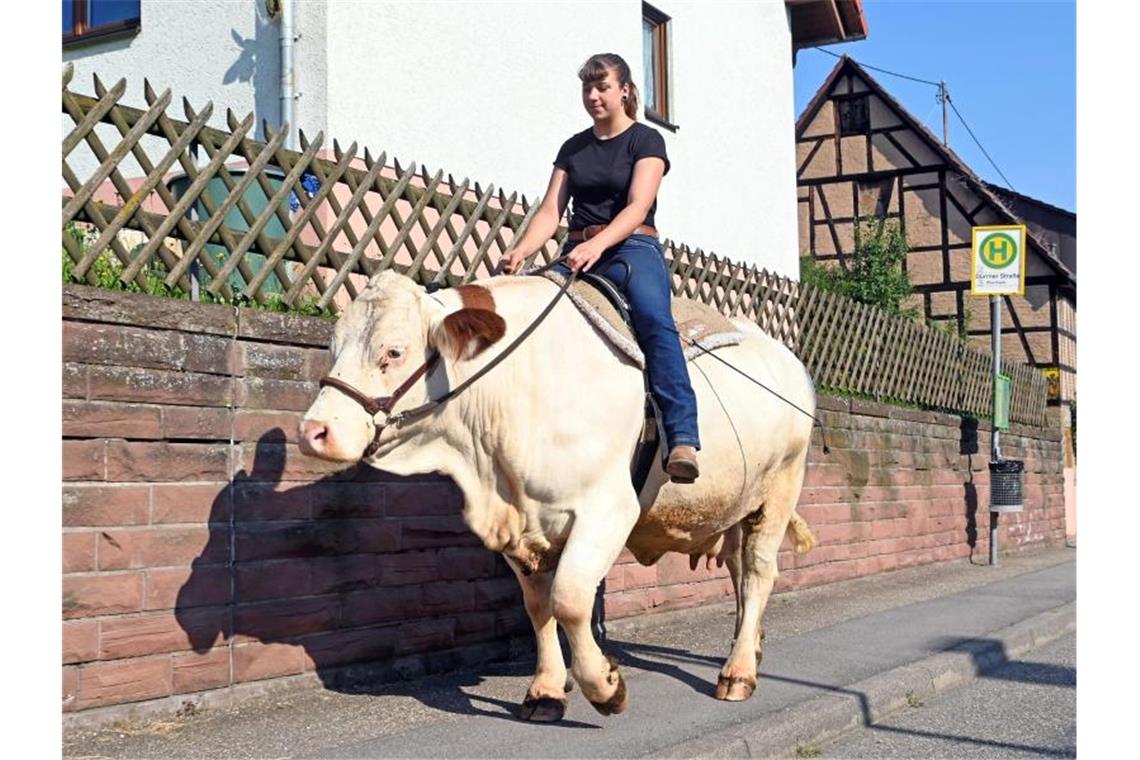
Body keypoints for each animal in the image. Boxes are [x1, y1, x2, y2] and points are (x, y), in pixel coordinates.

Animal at [300, 270, 820, 724]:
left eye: (393, 351)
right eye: (333, 347)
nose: (313, 432)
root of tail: (786, 357)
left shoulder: (608, 509)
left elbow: (569, 599)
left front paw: (605, 687)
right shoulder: (522, 525)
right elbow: (539, 606)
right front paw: (546, 691)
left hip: (780, 487)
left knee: (758, 572)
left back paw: (738, 673)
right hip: (737, 504)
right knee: (738, 570)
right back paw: (749, 647)